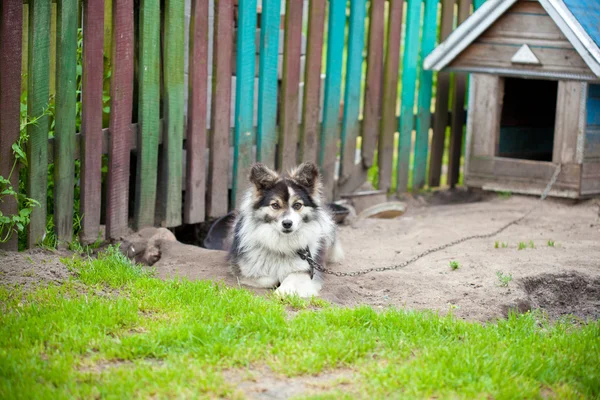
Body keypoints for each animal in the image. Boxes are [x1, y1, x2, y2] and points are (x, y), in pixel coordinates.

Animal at [227, 162, 344, 296]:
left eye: (297, 205)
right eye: (275, 205)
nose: (287, 223)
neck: (282, 244)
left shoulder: (308, 269)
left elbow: (292, 277)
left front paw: (284, 291)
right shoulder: (244, 269)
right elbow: (270, 278)